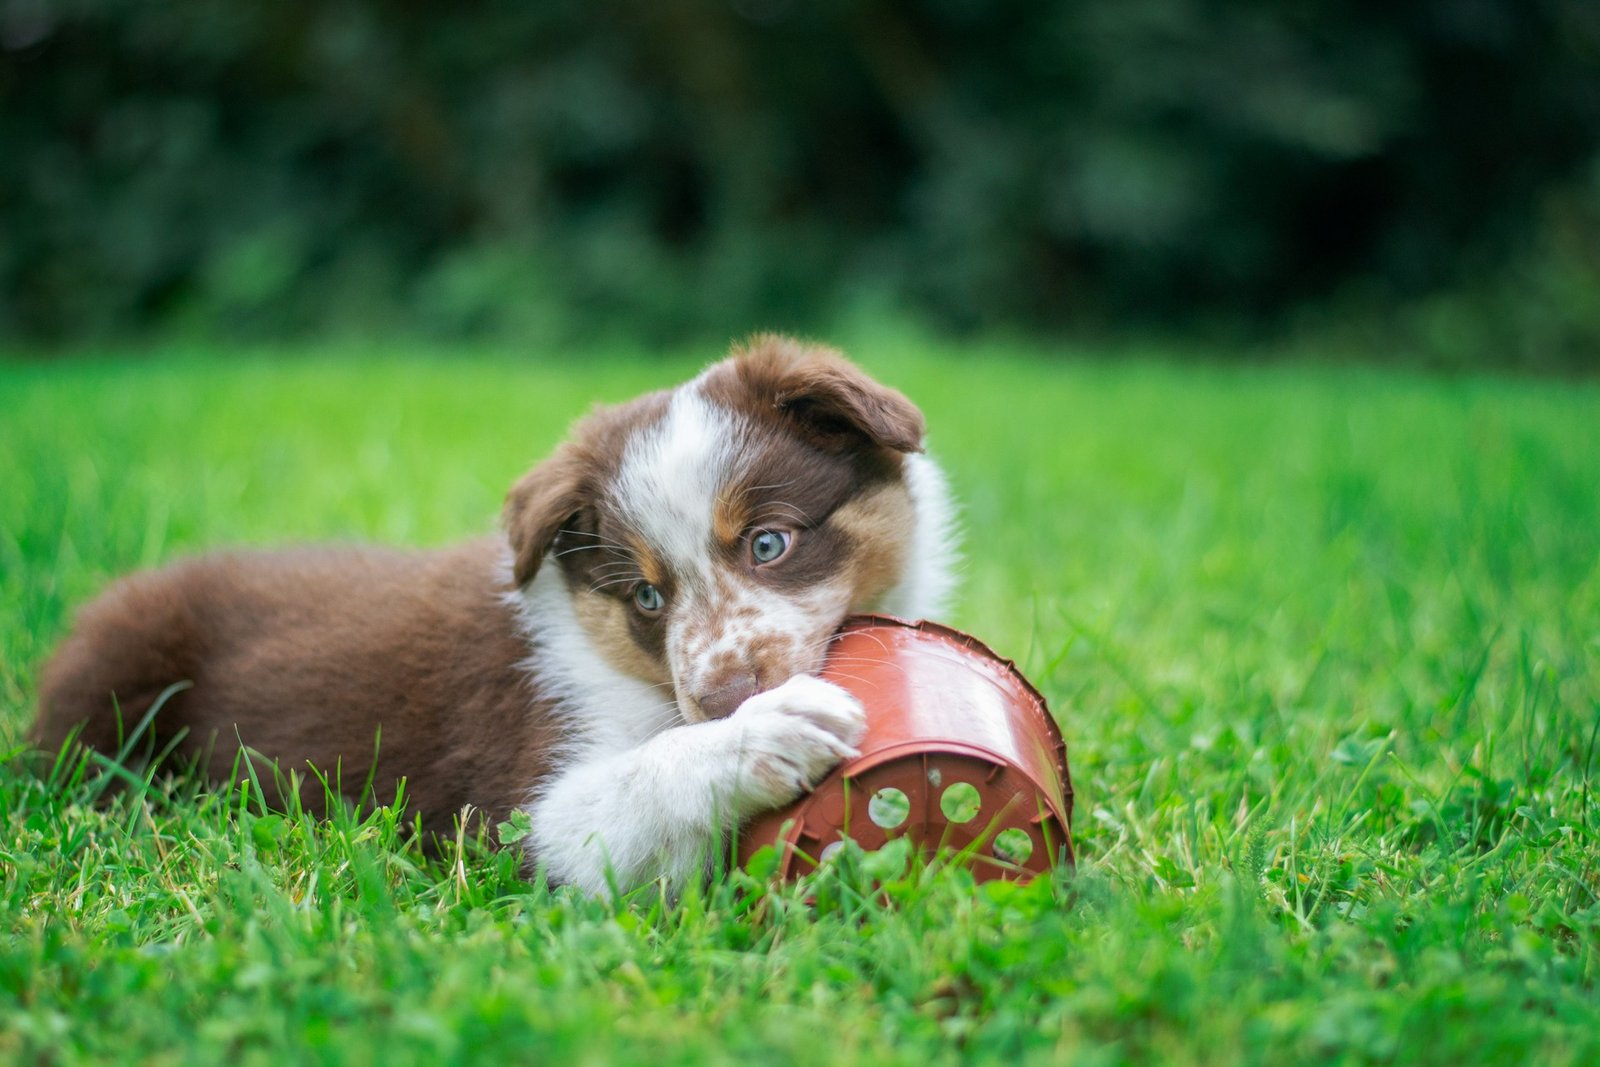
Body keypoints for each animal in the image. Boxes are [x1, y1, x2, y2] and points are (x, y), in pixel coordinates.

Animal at [31, 335, 953, 895]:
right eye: (647, 596)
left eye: (768, 543)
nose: (722, 699)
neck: (630, 668)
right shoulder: (520, 806)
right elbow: (634, 782)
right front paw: (767, 728)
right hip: (117, 670)